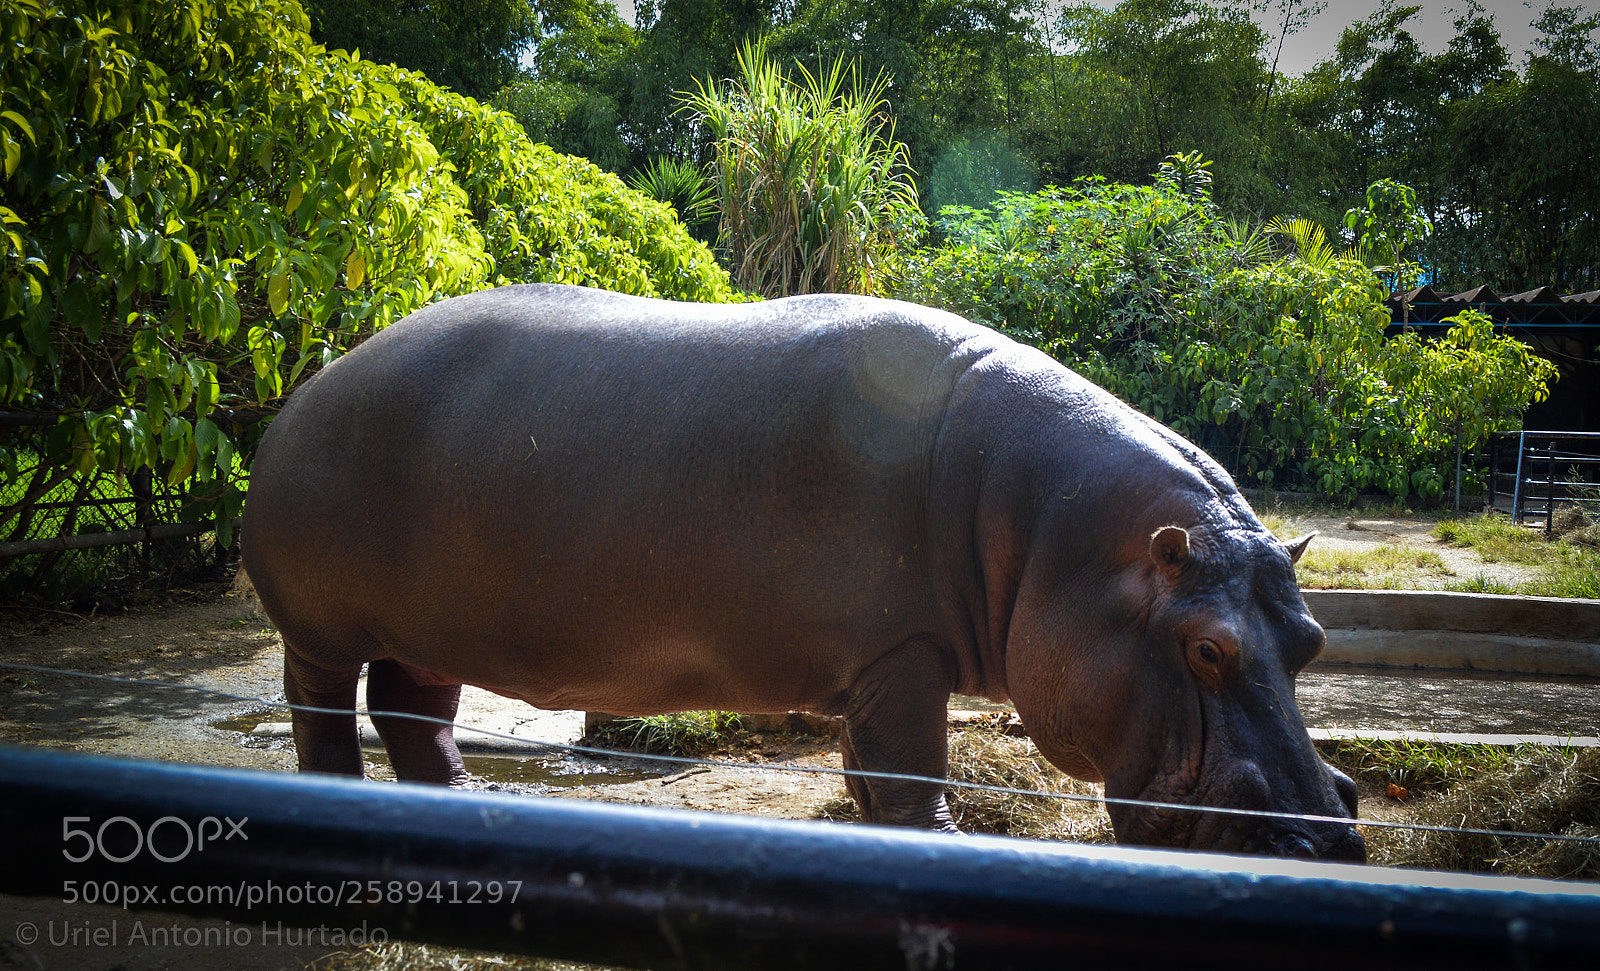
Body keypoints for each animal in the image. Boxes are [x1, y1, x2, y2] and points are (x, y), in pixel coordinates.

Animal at [241, 283, 1364, 860]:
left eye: (1312, 637)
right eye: (1207, 647)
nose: (1332, 839)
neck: (1053, 532)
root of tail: (312, 380)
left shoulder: (878, 665)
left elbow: (873, 782)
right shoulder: (900, 654)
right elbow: (908, 782)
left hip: (427, 629)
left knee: (416, 717)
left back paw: (464, 806)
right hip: (320, 632)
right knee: (325, 718)